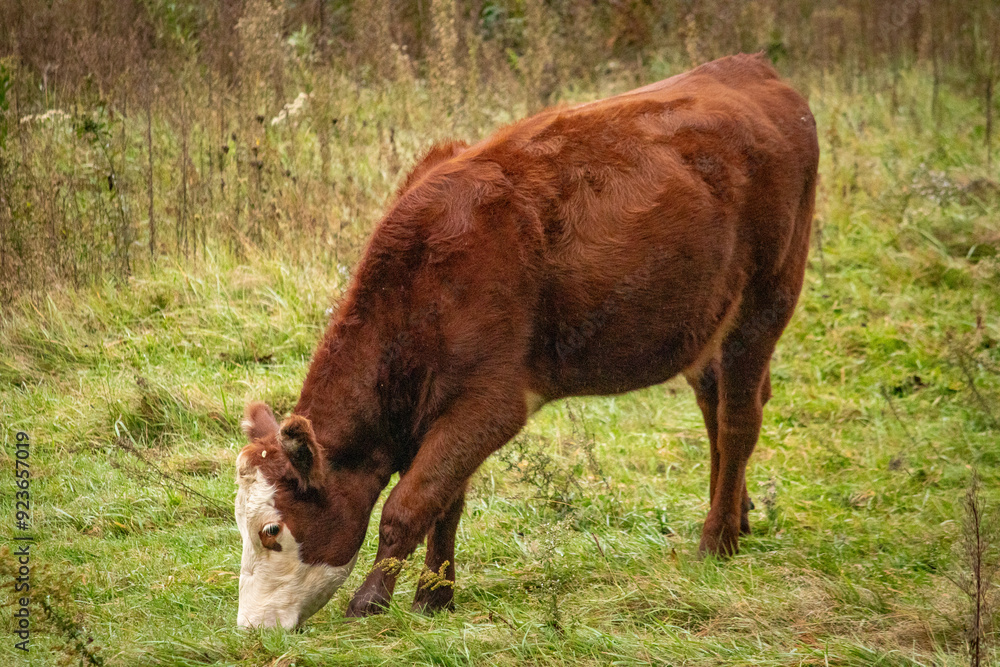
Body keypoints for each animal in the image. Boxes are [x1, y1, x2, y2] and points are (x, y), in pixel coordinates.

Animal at [234, 53, 819, 628]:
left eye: (271, 530)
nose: (250, 628)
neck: (420, 281)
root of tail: (750, 68)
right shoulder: (446, 408)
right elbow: (446, 502)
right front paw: (435, 596)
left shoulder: (492, 400)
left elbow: (409, 504)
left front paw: (371, 600)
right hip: (707, 319)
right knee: (715, 405)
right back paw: (738, 517)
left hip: (768, 295)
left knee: (739, 419)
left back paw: (716, 540)